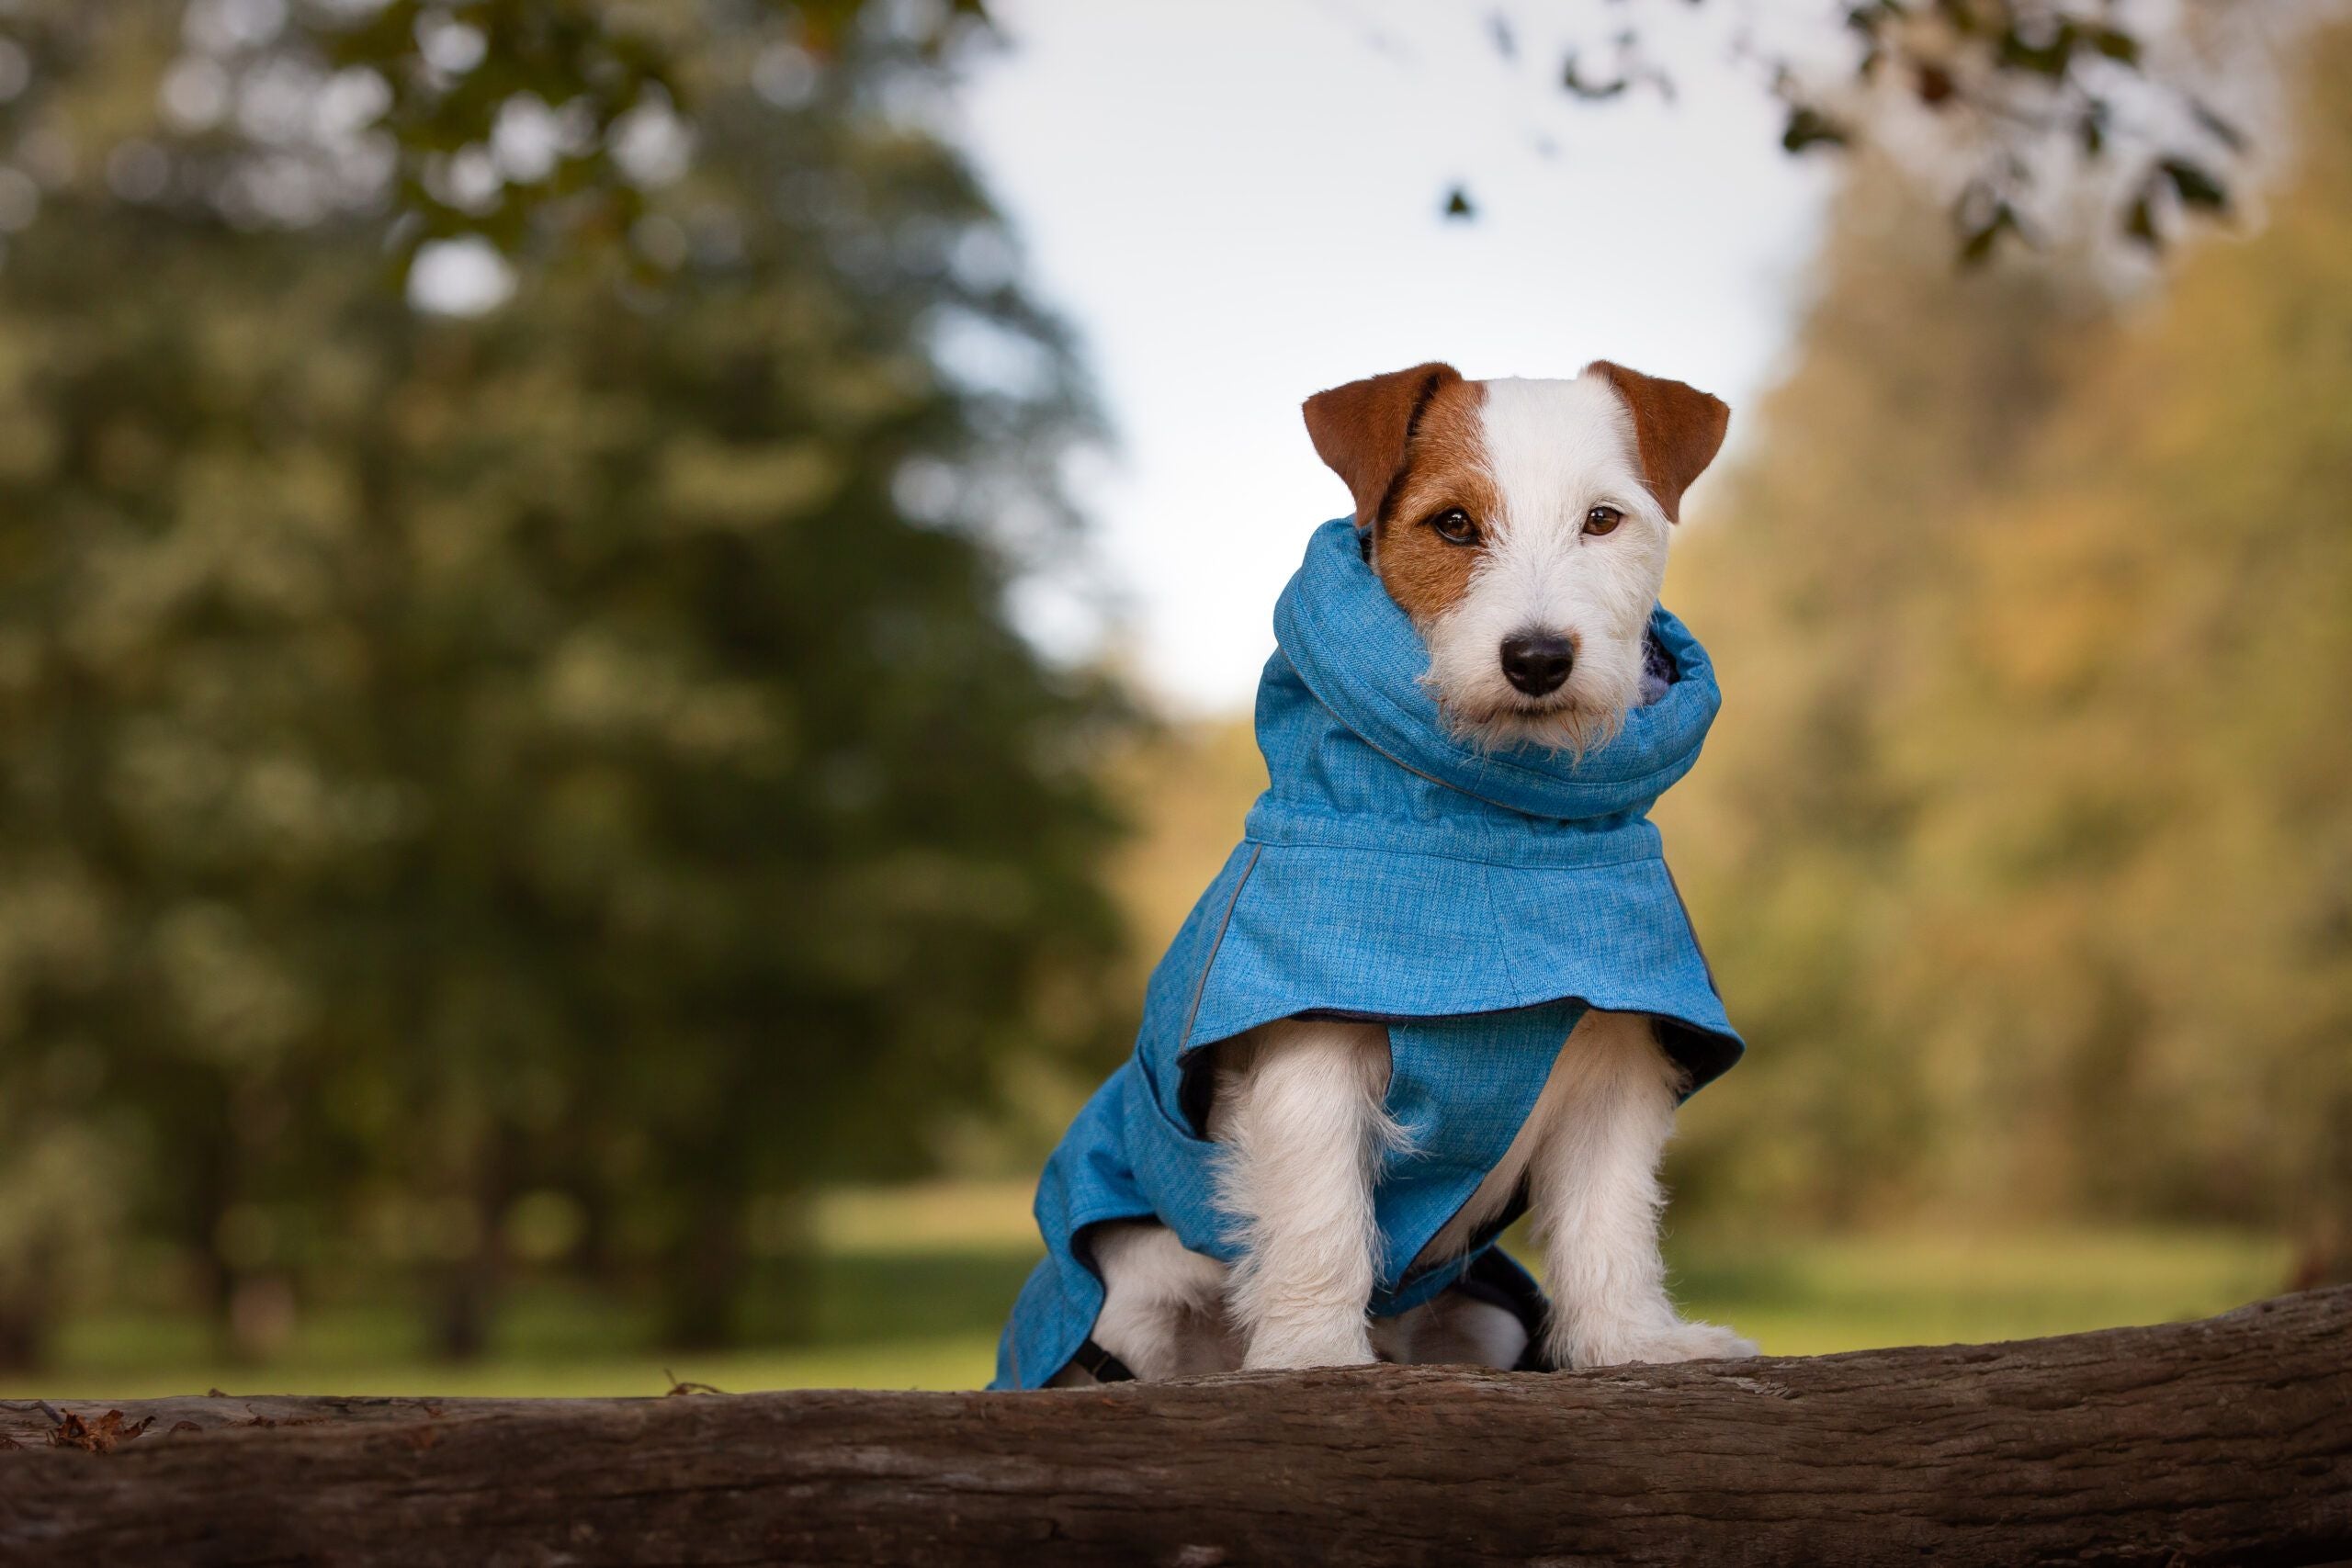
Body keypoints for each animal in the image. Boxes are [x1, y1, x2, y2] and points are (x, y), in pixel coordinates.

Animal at [1001, 359, 1758, 1382]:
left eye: (1603, 520)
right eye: (1453, 524)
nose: (1537, 658)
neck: (1496, 834)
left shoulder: (1613, 1062)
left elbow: (1609, 1223)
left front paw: (1632, 1345)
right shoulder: (1312, 1050)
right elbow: (1321, 1215)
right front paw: (1314, 1354)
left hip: (1484, 1323)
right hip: (1130, 1303)